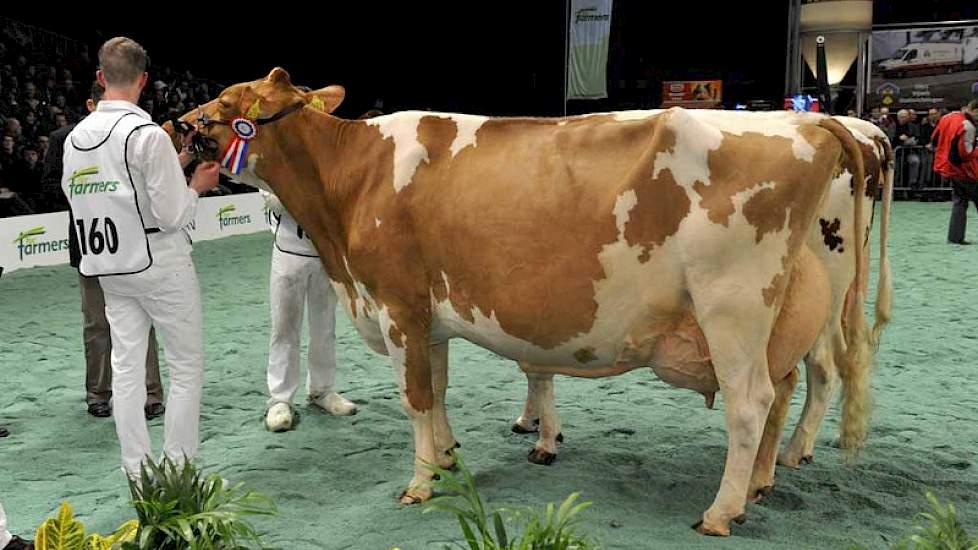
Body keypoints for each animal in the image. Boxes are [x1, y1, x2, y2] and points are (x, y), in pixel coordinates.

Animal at [172, 70, 864, 540]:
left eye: (227, 105)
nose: (181, 123)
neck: (349, 186)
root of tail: (808, 122)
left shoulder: (397, 306)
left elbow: (415, 398)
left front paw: (419, 484)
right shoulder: (430, 320)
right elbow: (439, 391)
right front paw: (447, 460)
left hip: (733, 308)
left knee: (751, 406)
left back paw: (721, 511)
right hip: (779, 314)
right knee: (786, 389)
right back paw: (761, 484)